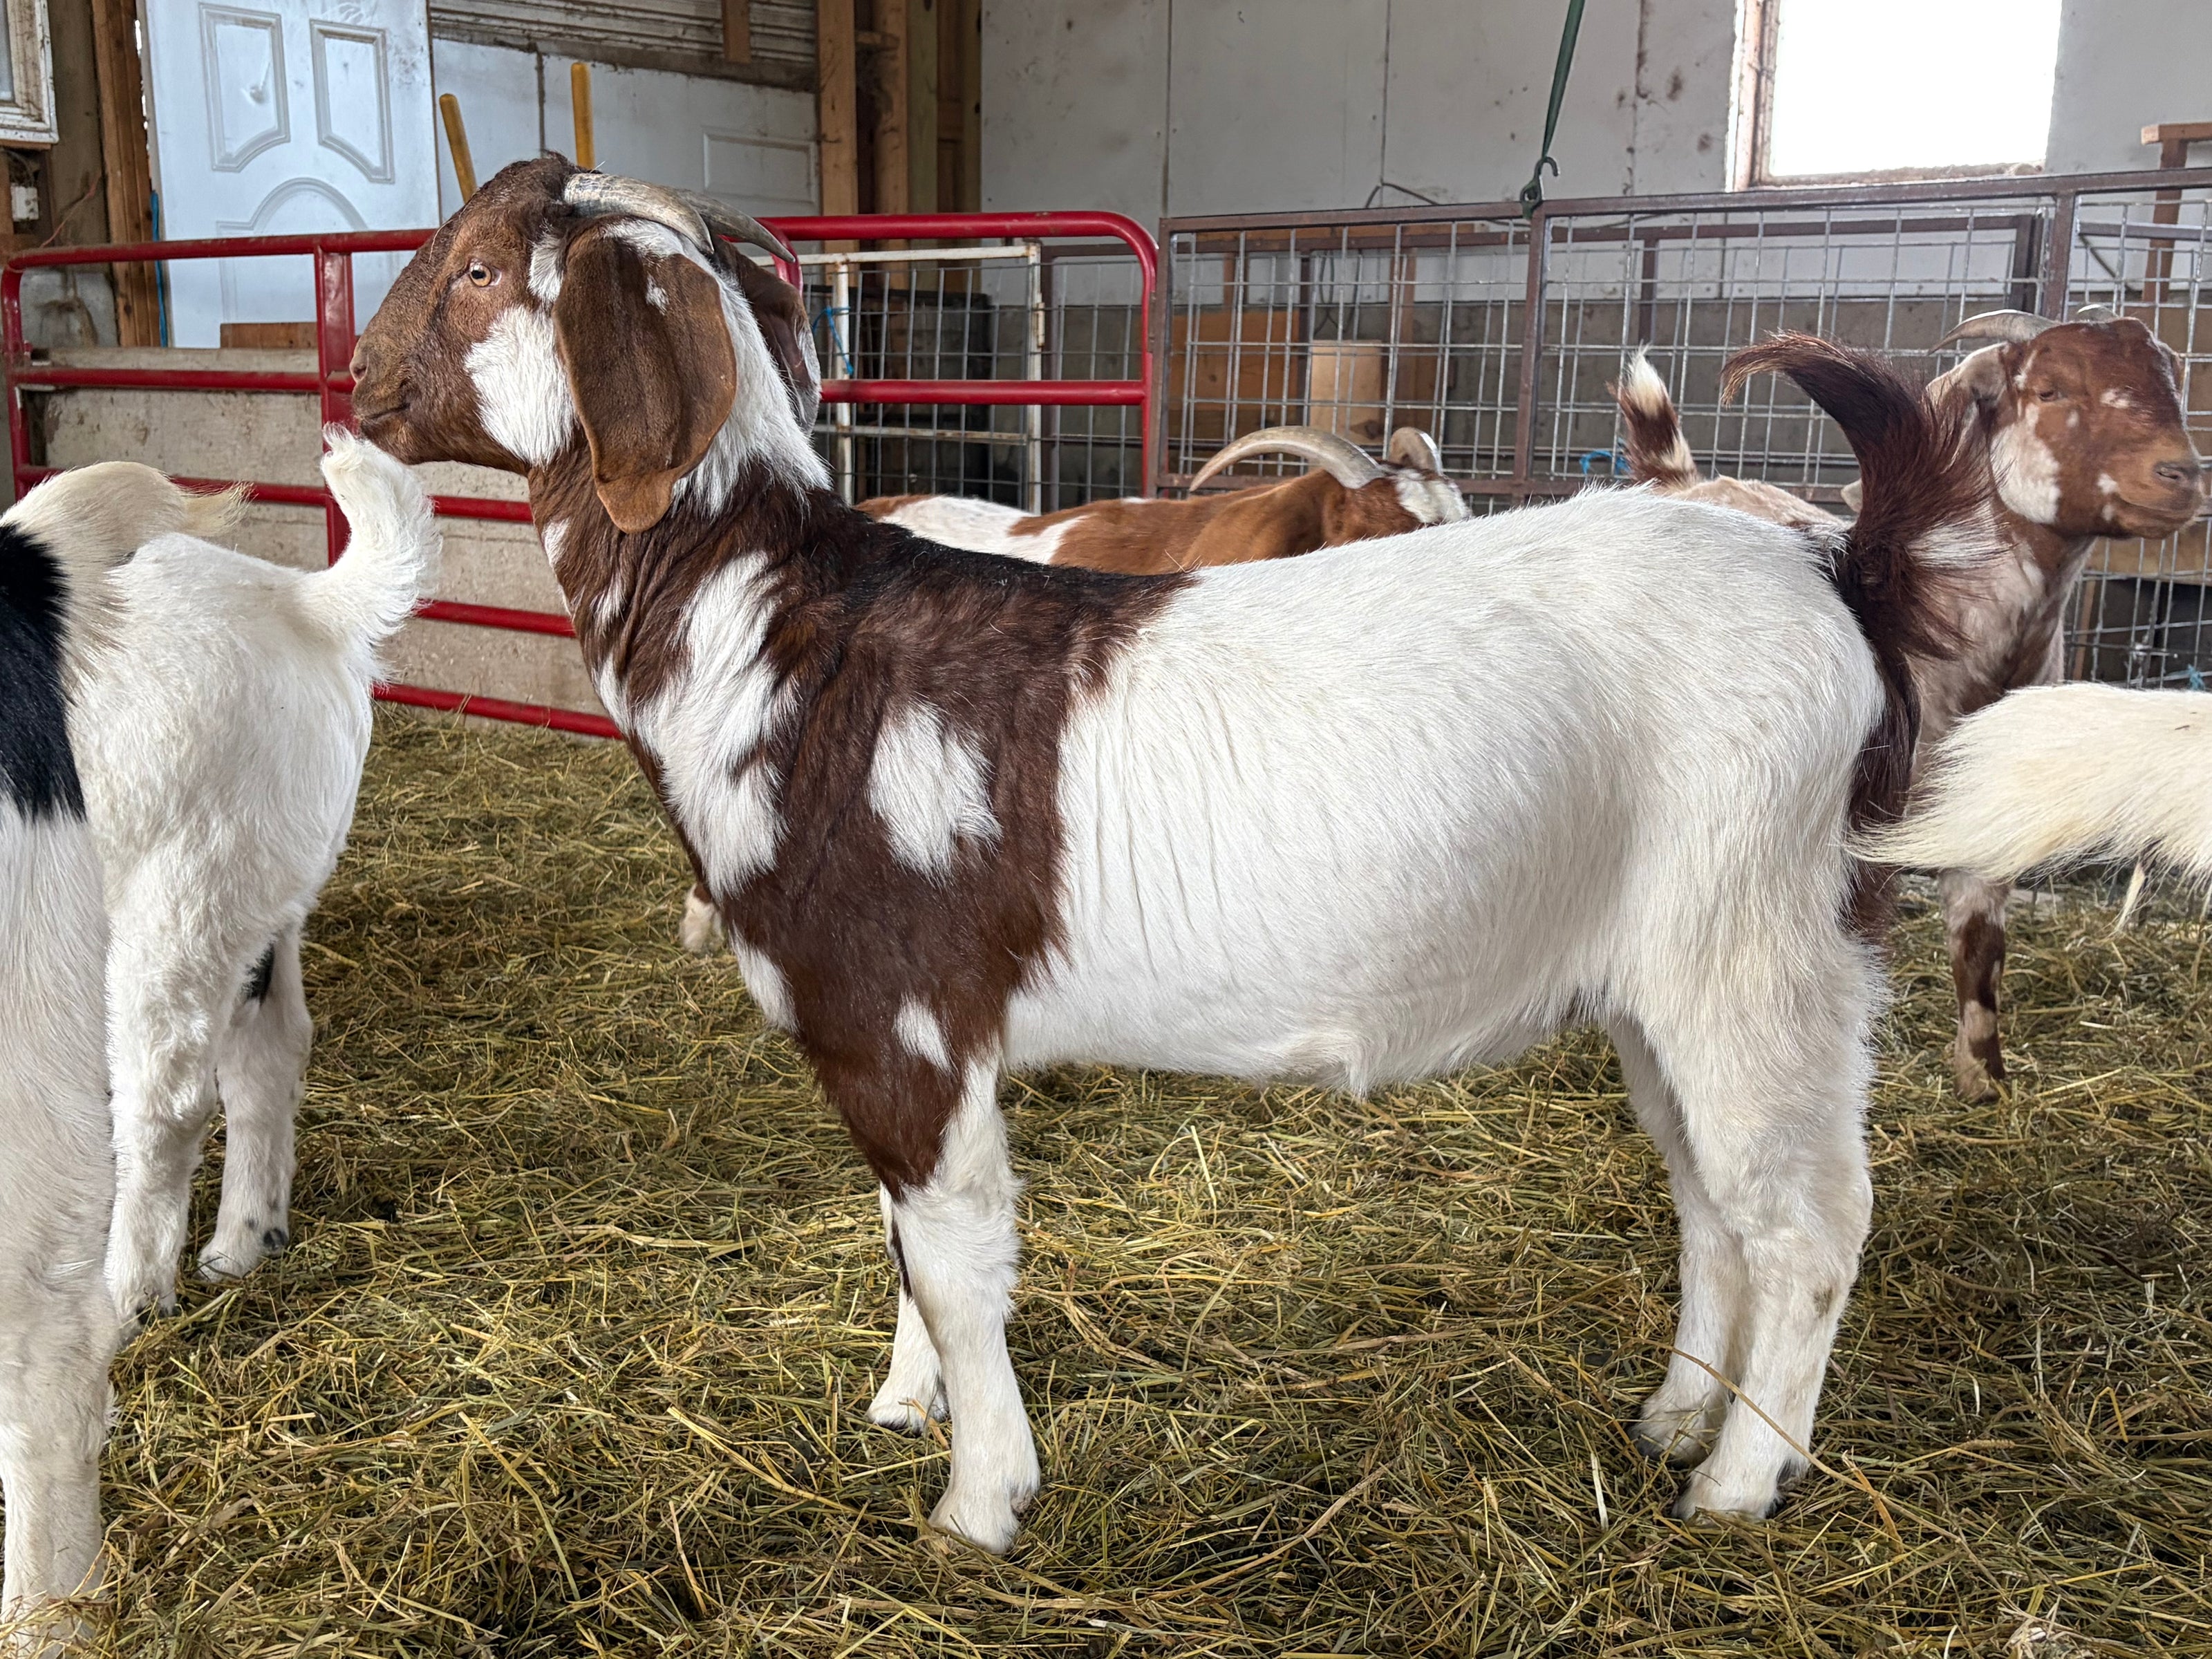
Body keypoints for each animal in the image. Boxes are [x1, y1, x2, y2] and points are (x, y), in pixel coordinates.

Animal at [88, 433, 440, 1325]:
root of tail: (299, 599)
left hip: (180, 895)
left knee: (166, 1102)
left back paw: (130, 1298)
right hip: (256, 899)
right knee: (270, 1051)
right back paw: (243, 1244)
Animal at [1614, 315, 2205, 1100]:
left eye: (2172, 377)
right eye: (2048, 389)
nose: (2181, 476)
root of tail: (1680, 479)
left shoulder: (1989, 822)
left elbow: (1980, 950)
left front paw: (1983, 1080)